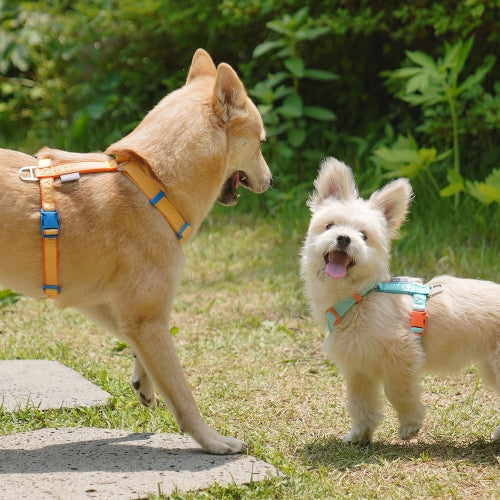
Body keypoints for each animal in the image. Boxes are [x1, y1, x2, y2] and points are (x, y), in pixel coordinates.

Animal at [0, 49, 274, 454]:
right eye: (261, 143)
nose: (271, 181)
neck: (150, 182)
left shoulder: (108, 307)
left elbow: (137, 347)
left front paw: (144, 384)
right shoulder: (148, 318)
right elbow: (182, 392)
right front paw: (212, 441)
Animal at [300, 158, 500, 444]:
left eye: (364, 235)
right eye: (330, 226)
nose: (344, 238)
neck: (361, 298)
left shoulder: (401, 356)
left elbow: (397, 392)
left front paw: (410, 425)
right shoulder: (358, 369)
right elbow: (360, 404)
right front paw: (359, 435)